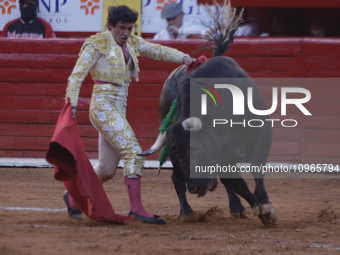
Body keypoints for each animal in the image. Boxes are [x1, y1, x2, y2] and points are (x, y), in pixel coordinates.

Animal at [139, 1, 278, 225]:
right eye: (175, 158)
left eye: (194, 149)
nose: (195, 187)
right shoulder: (221, 155)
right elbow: (238, 184)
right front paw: (261, 209)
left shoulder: (261, 135)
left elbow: (256, 169)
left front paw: (264, 205)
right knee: (178, 179)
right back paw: (188, 211)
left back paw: (237, 208)